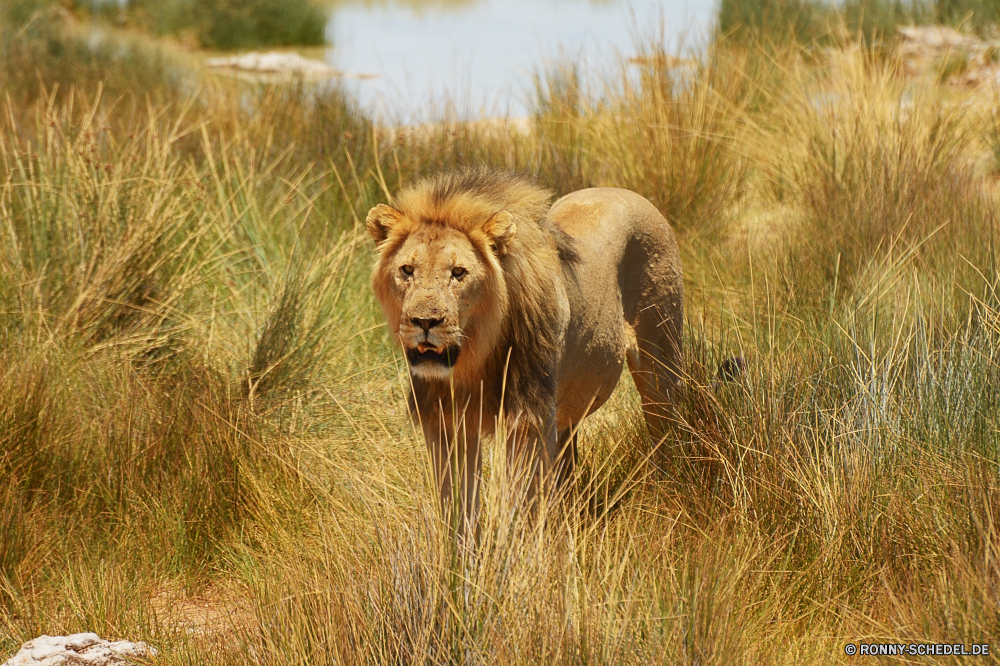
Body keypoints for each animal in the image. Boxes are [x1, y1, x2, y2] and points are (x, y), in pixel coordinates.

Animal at [368, 169, 688, 536]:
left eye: (458, 273)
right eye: (407, 271)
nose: (424, 321)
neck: (474, 358)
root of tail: (626, 192)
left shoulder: (527, 421)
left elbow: (521, 511)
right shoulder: (445, 423)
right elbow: (458, 512)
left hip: (661, 362)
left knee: (666, 433)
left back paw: (666, 500)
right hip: (565, 409)